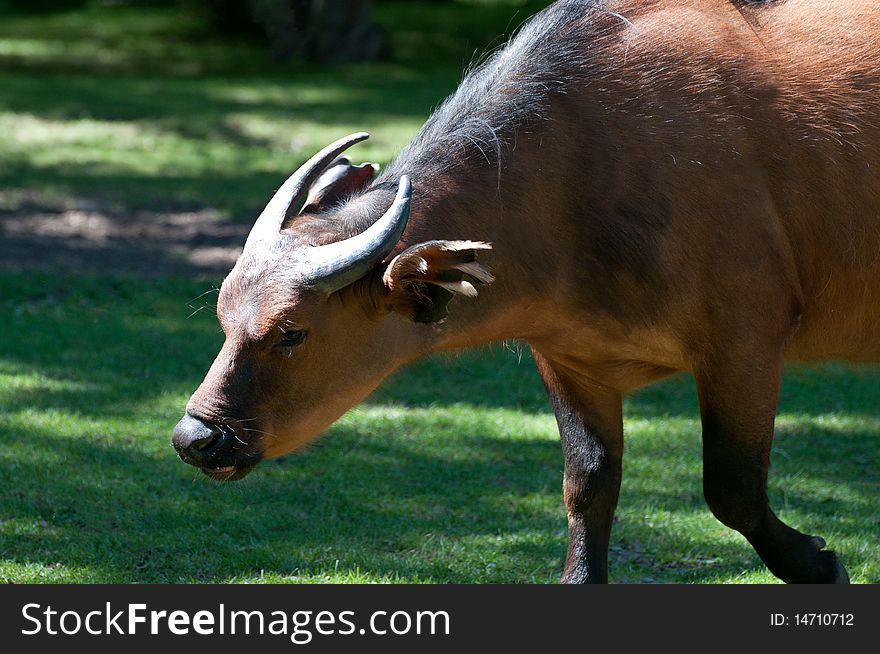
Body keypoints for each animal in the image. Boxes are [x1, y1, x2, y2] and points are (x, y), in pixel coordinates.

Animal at [174, 0, 880, 584]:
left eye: (292, 331)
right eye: (224, 319)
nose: (194, 438)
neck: (583, 180)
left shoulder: (744, 342)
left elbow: (732, 487)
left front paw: (815, 564)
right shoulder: (571, 362)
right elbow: (588, 484)